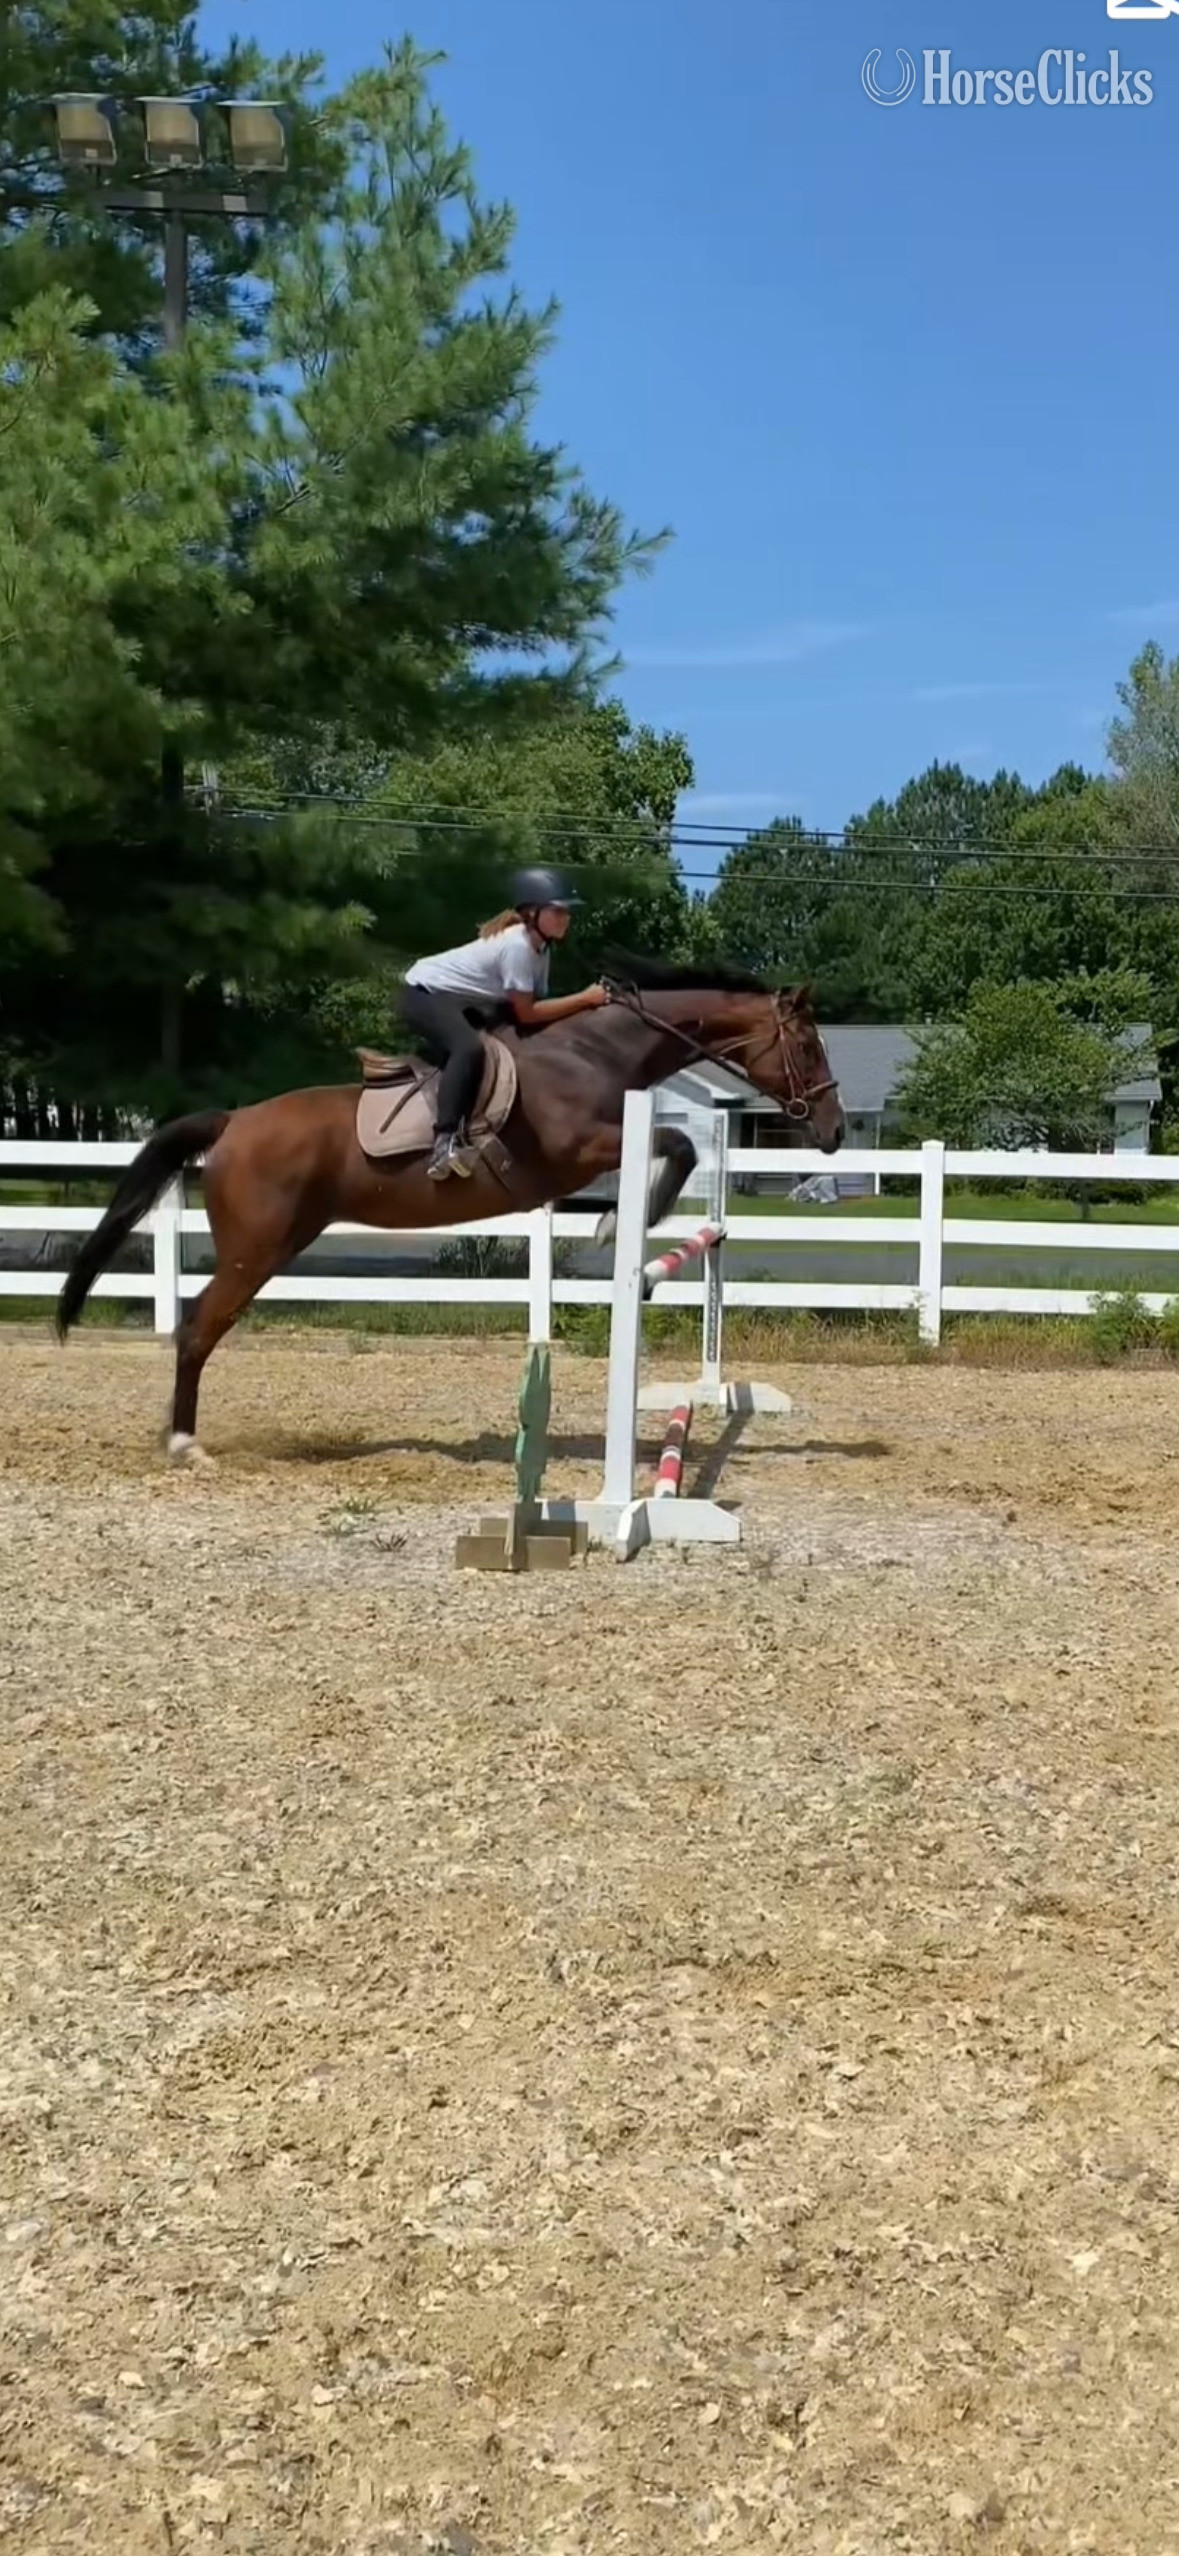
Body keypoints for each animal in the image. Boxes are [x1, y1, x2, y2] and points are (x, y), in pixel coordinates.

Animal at [55, 958, 845, 1461]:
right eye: (807, 1044)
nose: (834, 1132)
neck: (592, 1051)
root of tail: (232, 1122)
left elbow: (676, 1147)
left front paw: (618, 1228)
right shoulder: (578, 1148)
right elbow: (676, 1143)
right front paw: (616, 1227)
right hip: (257, 1250)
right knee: (195, 1330)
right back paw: (184, 1445)